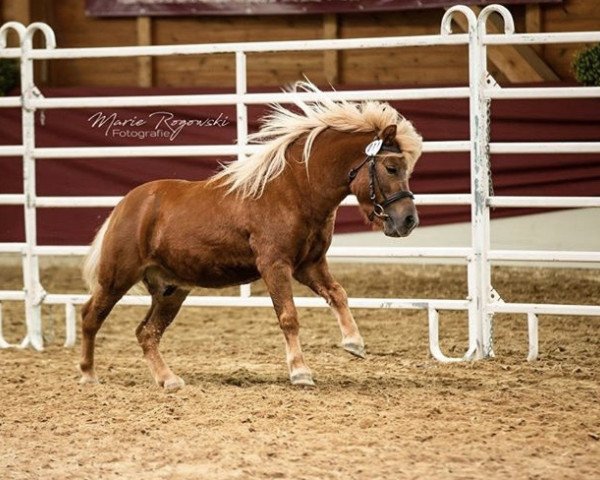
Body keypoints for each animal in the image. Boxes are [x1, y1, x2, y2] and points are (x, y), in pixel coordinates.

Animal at [79, 81, 422, 390]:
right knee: (90, 317)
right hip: (117, 278)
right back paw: (88, 375)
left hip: (171, 289)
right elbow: (289, 316)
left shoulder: (309, 265)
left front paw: (354, 342)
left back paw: (169, 380)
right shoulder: (275, 265)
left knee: (146, 333)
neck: (292, 191)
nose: (408, 220)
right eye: (391, 167)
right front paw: (300, 372)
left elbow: (338, 294)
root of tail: (126, 205)